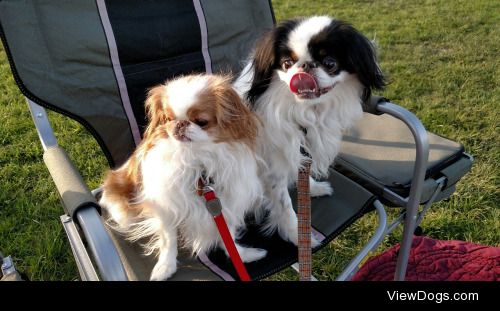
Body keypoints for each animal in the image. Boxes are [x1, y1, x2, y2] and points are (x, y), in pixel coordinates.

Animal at [99, 74, 268, 282]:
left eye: (201, 121)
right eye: (168, 119)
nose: (179, 123)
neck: (196, 160)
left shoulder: (226, 205)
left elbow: (227, 235)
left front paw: (241, 255)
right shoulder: (166, 208)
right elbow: (168, 240)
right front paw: (165, 267)